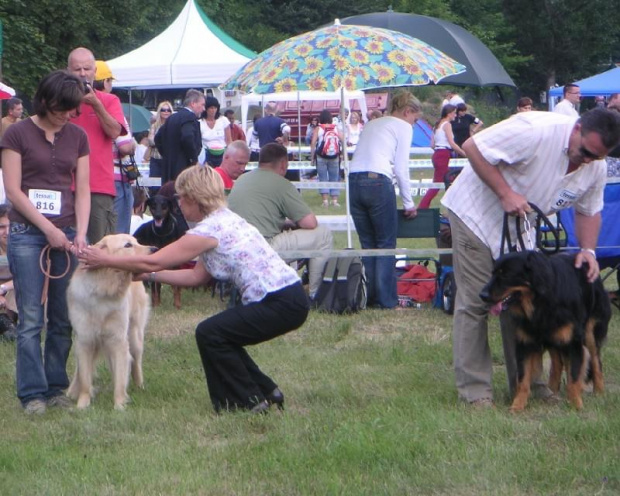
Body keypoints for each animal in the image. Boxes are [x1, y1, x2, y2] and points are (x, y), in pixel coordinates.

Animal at [480, 252, 612, 410]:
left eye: (505, 275)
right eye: (493, 273)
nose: (482, 295)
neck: (539, 302)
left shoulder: (573, 342)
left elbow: (573, 376)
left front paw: (576, 404)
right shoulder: (525, 343)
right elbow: (523, 379)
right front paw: (517, 405)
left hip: (589, 333)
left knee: (596, 360)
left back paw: (599, 391)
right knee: (557, 363)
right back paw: (552, 390)